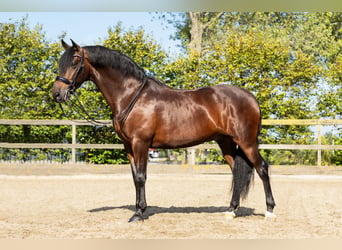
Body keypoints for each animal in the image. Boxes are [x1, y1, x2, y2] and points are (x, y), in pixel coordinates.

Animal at [52, 40, 276, 222]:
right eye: (60, 63)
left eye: (74, 62)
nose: (57, 94)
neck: (132, 96)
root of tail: (251, 97)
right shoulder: (129, 146)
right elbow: (135, 178)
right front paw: (139, 210)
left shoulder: (141, 143)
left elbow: (141, 177)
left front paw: (138, 214)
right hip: (226, 142)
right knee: (237, 172)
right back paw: (231, 210)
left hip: (246, 142)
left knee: (262, 168)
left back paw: (269, 210)